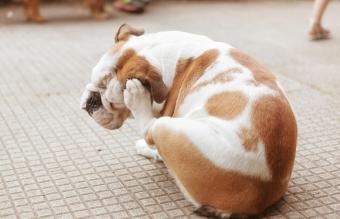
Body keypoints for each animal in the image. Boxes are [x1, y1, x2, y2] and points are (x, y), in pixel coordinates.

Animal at [80, 24, 298, 218]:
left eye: (112, 102)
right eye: (92, 80)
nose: (92, 100)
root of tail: (264, 190)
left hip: (167, 128)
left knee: (150, 129)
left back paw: (138, 101)